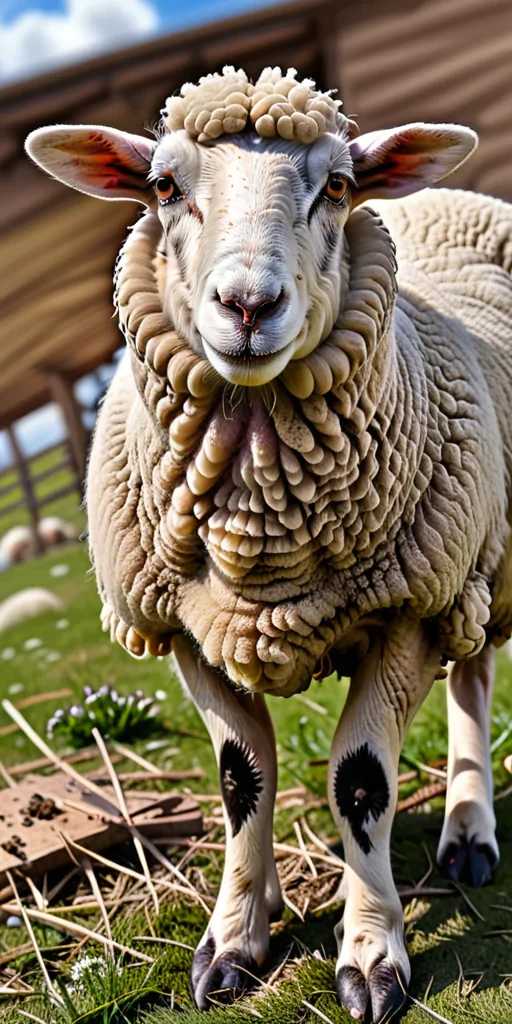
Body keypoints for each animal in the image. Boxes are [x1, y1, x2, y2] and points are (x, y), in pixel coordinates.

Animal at [25, 65, 512, 1021]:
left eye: (339, 186)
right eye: (164, 186)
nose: (248, 306)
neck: (264, 537)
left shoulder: (409, 610)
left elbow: (360, 782)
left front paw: (371, 953)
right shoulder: (183, 629)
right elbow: (239, 779)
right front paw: (236, 935)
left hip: (470, 563)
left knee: (473, 681)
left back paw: (469, 828)